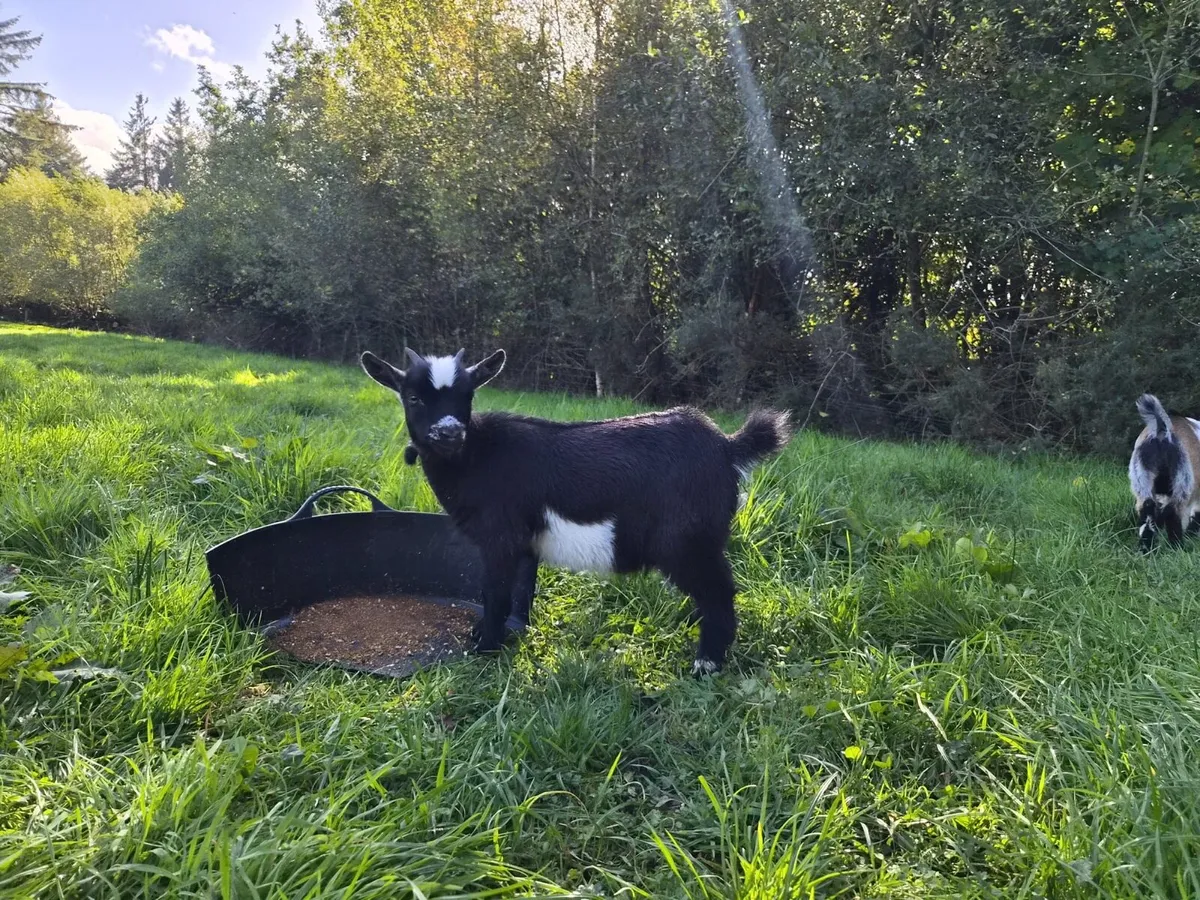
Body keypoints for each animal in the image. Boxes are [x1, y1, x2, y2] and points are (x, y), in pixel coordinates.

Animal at [360, 346, 793, 674]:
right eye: (413, 397)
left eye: (467, 396)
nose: (449, 432)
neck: (475, 456)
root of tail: (727, 446)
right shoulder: (525, 543)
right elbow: (519, 591)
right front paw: (500, 638)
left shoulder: (501, 536)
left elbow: (495, 591)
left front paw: (485, 648)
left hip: (687, 539)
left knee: (719, 592)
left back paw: (707, 663)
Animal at [1129, 393, 1200, 552]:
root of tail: (1162, 432)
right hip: (1183, 483)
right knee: (1174, 513)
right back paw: (1177, 547)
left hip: (1142, 481)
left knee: (1148, 511)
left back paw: (1146, 549)